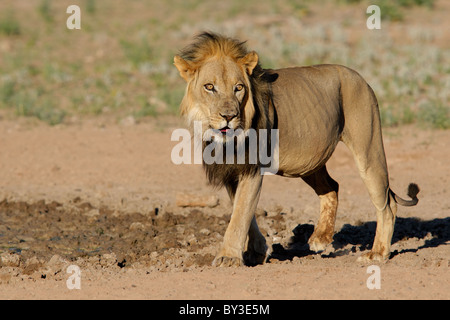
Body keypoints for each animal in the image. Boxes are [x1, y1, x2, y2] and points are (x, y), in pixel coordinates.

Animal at [173, 31, 418, 268]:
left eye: (238, 88)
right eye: (209, 87)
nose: (229, 116)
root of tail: (359, 77)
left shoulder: (252, 169)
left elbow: (240, 215)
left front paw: (228, 258)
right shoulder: (230, 172)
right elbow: (244, 213)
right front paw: (257, 251)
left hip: (368, 149)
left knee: (387, 204)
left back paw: (378, 253)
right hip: (309, 162)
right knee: (332, 187)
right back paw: (320, 238)